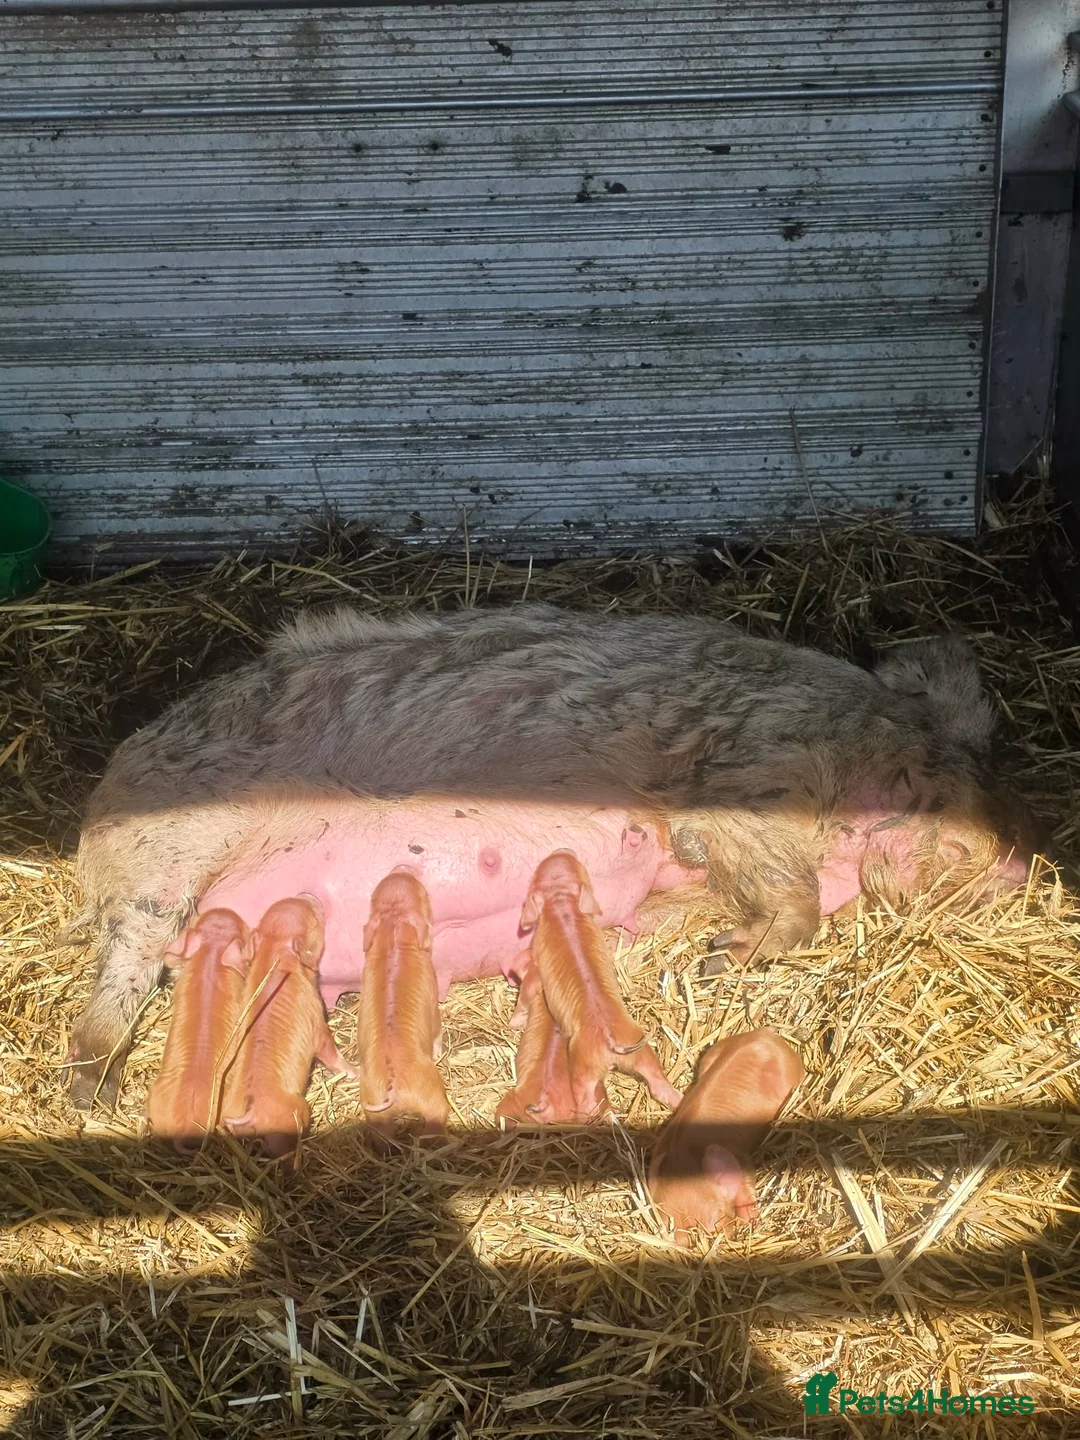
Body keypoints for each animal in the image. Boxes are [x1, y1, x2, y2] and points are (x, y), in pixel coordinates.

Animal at [223, 895, 353, 1157]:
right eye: (314, 919)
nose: (308, 895)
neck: (274, 953)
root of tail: (247, 1115)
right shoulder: (316, 1022)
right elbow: (330, 1053)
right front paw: (355, 1071)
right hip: (291, 1116)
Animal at [356, 868, 449, 1138]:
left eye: (374, 895)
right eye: (422, 892)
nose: (402, 867)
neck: (393, 927)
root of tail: (393, 1089)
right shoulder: (433, 997)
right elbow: (437, 1029)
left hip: (377, 1114)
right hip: (431, 1097)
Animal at [515, 850, 683, 1118]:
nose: (562, 851)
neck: (562, 903)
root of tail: (610, 1041)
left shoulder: (536, 967)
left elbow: (526, 993)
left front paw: (515, 1022)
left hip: (582, 1065)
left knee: (587, 1103)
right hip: (642, 1051)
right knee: (662, 1086)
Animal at [647, 1028, 805, 1244]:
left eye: (717, 1215)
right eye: (672, 1229)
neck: (685, 1158)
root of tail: (766, 1034)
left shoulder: (740, 1157)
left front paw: (750, 1220)